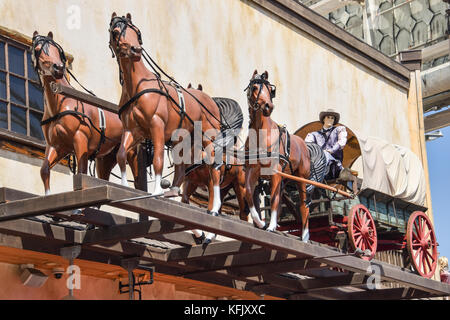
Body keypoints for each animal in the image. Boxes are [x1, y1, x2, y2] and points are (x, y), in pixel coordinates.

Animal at [32, 31, 139, 195]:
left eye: (57, 50)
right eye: (37, 49)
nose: (59, 67)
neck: (60, 105)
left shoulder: (80, 139)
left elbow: (81, 172)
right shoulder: (57, 146)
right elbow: (44, 171)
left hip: (131, 151)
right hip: (105, 159)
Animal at [107, 13, 227, 216]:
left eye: (136, 32)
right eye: (116, 31)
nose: (135, 49)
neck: (138, 87)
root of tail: (211, 102)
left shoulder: (157, 125)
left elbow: (157, 159)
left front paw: (155, 191)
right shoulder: (132, 130)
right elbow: (121, 154)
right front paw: (124, 186)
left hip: (208, 138)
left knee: (214, 167)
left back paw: (214, 208)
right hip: (183, 139)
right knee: (181, 168)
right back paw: (172, 191)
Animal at [244, 69, 312, 240]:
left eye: (270, 90)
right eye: (255, 87)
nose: (269, 106)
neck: (262, 133)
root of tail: (304, 145)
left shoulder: (275, 171)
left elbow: (274, 200)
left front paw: (271, 226)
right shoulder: (252, 169)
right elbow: (248, 192)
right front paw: (260, 222)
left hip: (301, 178)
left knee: (304, 205)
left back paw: (305, 236)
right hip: (285, 178)